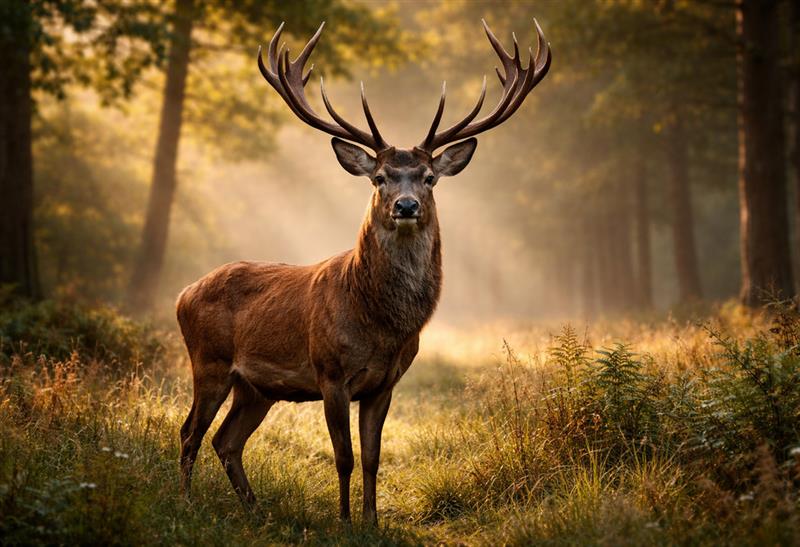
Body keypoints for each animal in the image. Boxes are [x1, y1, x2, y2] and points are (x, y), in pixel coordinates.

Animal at [176, 18, 550, 525]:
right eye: (379, 178)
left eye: (429, 178)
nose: (406, 206)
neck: (379, 323)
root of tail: (183, 293)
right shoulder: (330, 373)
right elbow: (344, 456)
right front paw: (344, 521)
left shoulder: (385, 382)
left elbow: (373, 456)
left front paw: (372, 521)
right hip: (208, 361)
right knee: (190, 433)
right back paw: (184, 503)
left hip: (256, 387)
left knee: (226, 440)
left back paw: (256, 512)